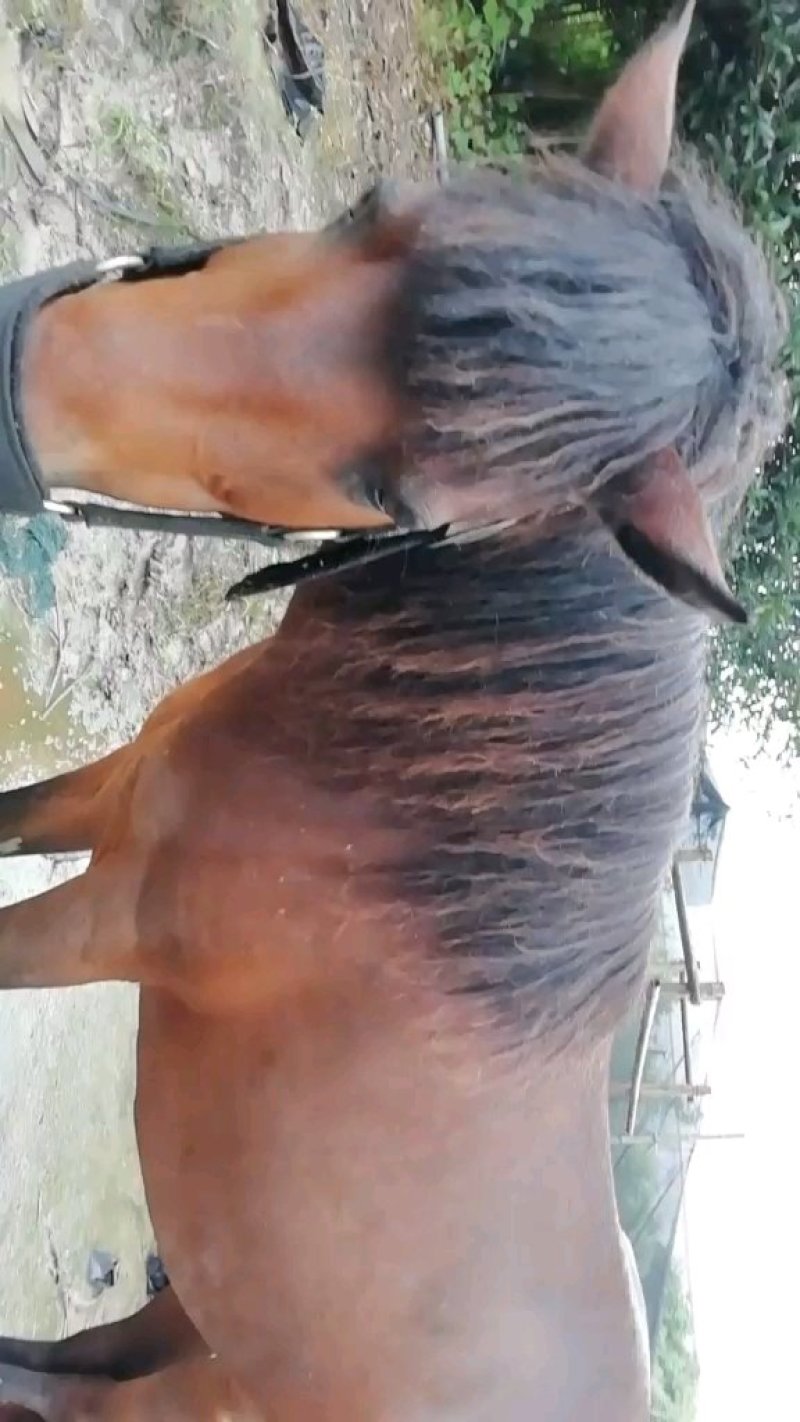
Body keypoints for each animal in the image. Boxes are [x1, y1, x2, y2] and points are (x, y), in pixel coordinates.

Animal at [0, 3, 788, 1419]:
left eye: (398, 495)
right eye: (377, 204)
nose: (10, 370)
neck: (386, 810)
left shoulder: (99, 922)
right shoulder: (107, 794)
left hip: (197, 1387)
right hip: (192, 1317)